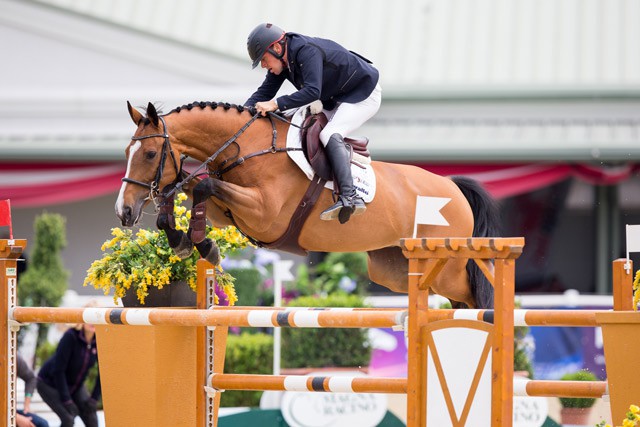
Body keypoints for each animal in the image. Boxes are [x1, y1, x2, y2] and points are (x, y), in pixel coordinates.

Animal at [117, 101, 502, 308]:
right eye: (126, 152)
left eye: (149, 154)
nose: (124, 212)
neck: (246, 148)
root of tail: (452, 187)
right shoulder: (225, 212)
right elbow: (189, 188)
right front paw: (182, 240)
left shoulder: (264, 215)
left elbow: (203, 186)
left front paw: (203, 245)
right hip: (395, 269)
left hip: (447, 268)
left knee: (475, 296)